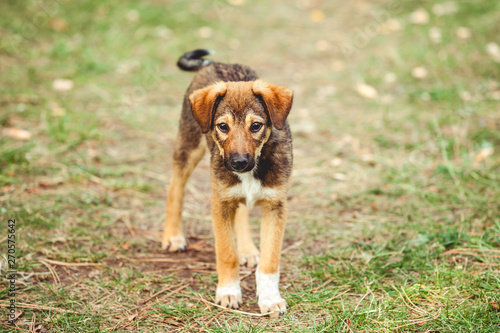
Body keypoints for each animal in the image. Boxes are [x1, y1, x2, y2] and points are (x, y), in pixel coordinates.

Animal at [160, 49, 292, 316]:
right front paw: (229, 291)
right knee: (175, 187)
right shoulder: (220, 202)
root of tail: (214, 63)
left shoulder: (276, 205)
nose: (238, 163)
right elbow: (226, 253)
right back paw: (173, 236)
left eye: (256, 126)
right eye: (222, 126)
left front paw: (270, 299)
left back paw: (248, 250)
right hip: (189, 145)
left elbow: (270, 260)